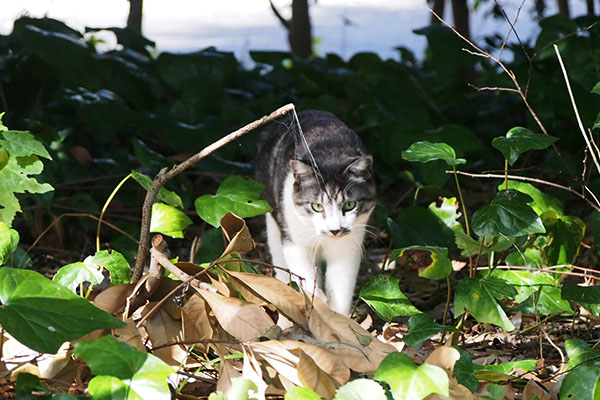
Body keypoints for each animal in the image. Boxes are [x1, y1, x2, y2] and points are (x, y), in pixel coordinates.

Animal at [256, 109, 376, 316]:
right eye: (317, 207)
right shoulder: (294, 239)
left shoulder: (348, 247)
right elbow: (302, 271)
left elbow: (341, 288)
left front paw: (337, 317)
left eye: (350, 205)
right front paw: (318, 301)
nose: (335, 230)